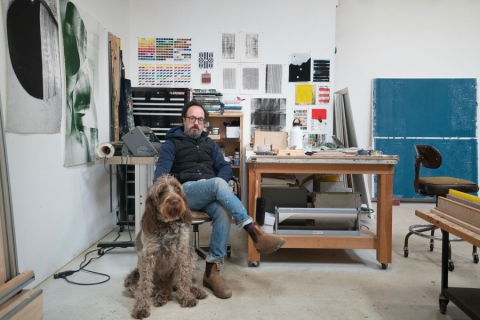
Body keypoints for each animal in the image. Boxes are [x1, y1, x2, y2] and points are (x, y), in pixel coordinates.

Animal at [124, 175, 206, 320]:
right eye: (161, 191)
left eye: (177, 189)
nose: (174, 201)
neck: (168, 226)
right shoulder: (147, 257)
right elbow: (144, 286)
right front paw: (141, 308)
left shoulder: (183, 253)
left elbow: (184, 279)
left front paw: (186, 297)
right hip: (134, 280)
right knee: (153, 288)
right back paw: (161, 296)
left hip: (191, 254)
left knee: (180, 283)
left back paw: (193, 291)